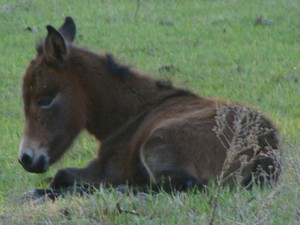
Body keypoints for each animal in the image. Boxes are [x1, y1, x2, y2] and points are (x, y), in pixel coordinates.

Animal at [18, 17, 282, 197]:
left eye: (45, 99)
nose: (26, 159)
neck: (133, 117)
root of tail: (263, 142)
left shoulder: (109, 168)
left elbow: (62, 175)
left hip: (156, 143)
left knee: (181, 186)